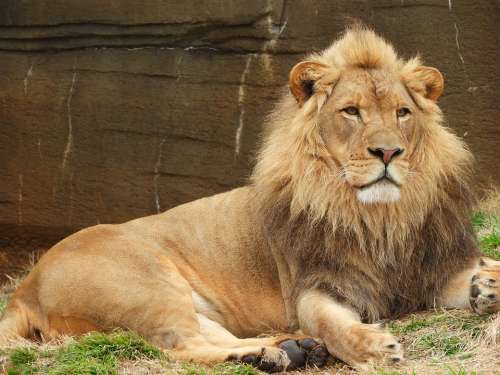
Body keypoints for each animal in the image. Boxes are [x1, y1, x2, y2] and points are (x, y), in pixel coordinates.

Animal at [0, 25, 500, 372]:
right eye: (351, 112)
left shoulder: (431, 271)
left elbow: (474, 274)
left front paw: (487, 284)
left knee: (208, 337)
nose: (389, 152)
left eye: (402, 113)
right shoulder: (314, 286)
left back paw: (287, 350)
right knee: (182, 348)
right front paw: (375, 348)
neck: (378, 217)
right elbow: (332, 323)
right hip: (146, 284)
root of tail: (24, 287)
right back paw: (273, 354)